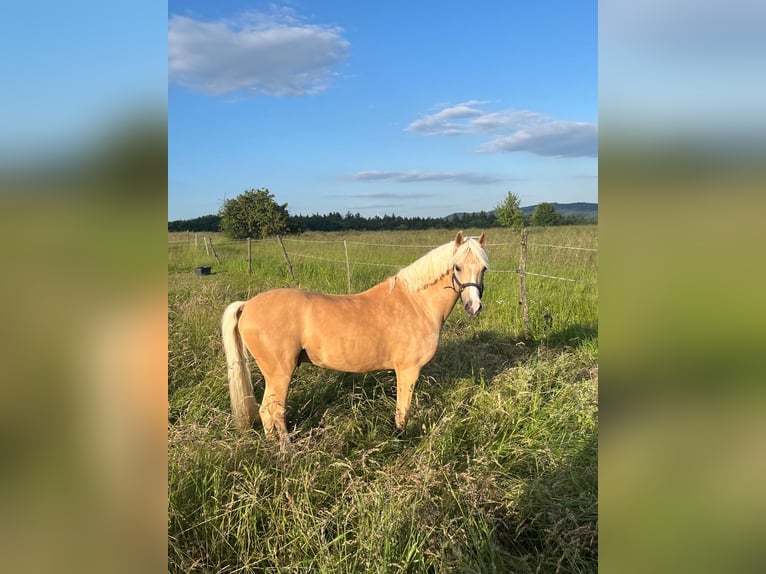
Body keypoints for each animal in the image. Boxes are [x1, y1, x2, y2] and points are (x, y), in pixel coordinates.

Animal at [221, 231, 488, 446]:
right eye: (457, 267)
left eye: (484, 268)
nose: (474, 307)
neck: (416, 303)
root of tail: (247, 305)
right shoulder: (408, 370)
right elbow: (402, 412)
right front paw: (400, 441)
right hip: (280, 374)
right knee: (274, 411)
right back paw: (287, 451)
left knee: (266, 411)